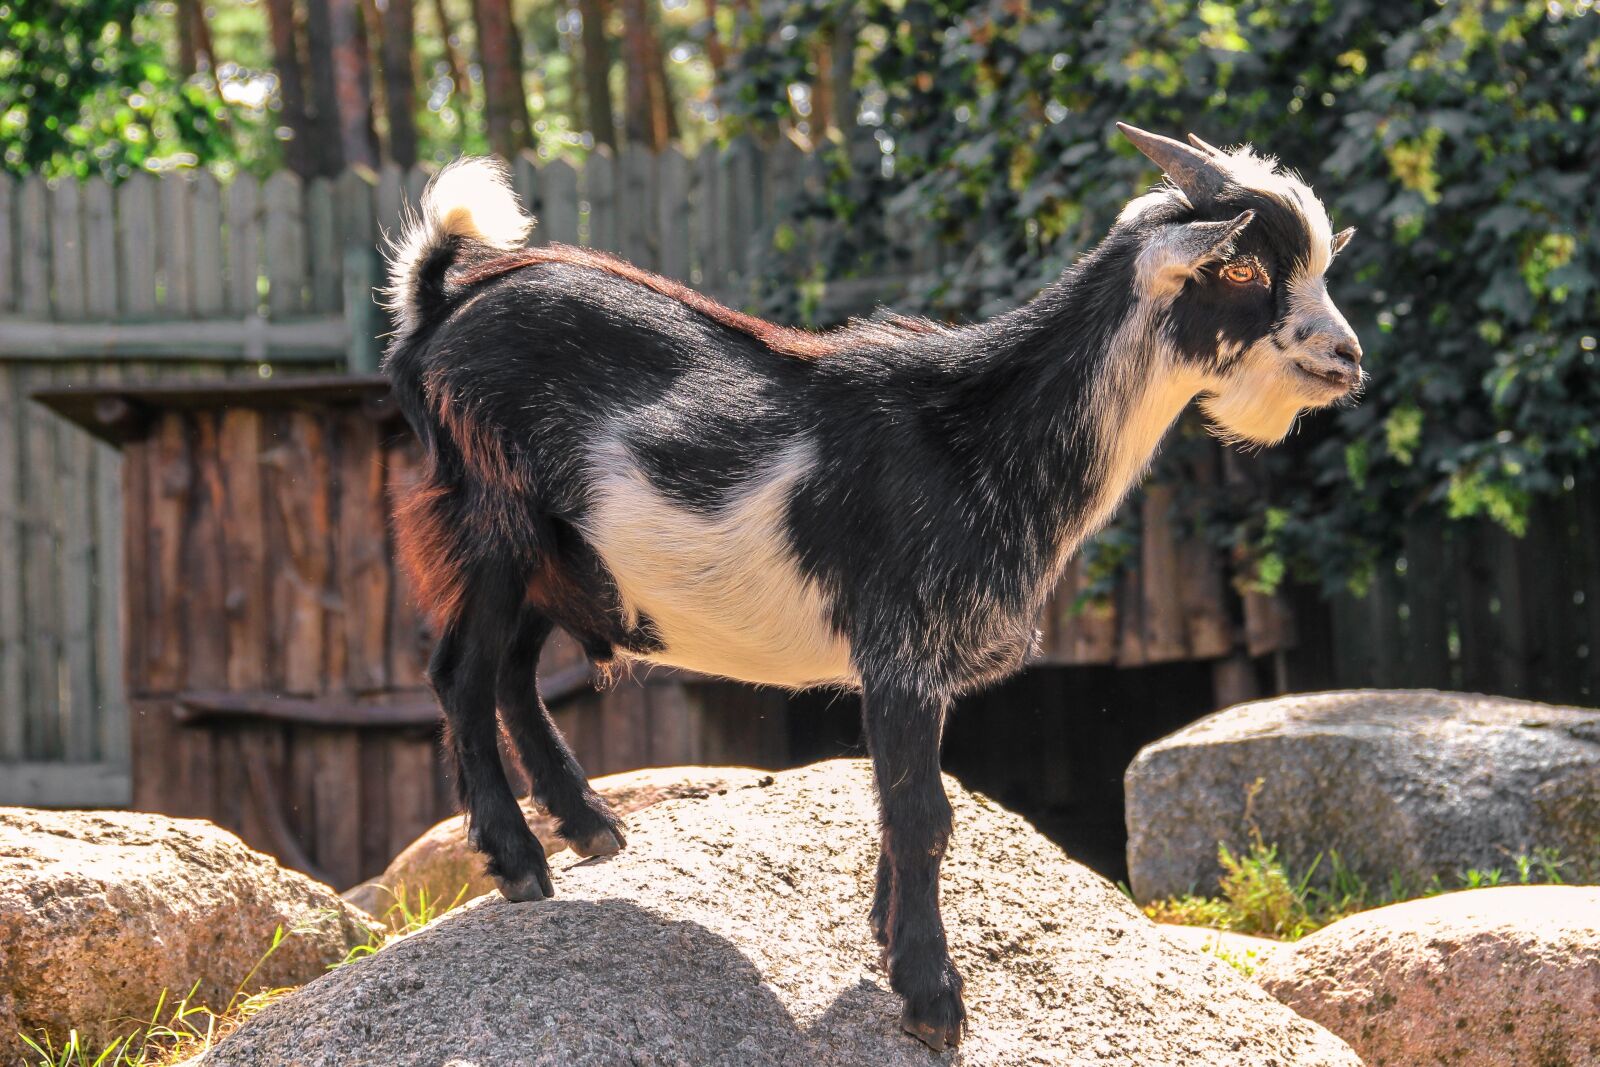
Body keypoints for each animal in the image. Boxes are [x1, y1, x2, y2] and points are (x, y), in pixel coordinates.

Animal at [381, 123, 1362, 1050]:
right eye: (1243, 267)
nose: (1347, 357)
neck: (981, 431)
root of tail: (440, 307)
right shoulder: (902, 649)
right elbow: (923, 812)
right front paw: (932, 998)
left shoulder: (921, 666)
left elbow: (902, 810)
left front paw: (893, 946)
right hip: (491, 521)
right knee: (461, 675)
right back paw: (519, 862)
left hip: (556, 553)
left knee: (511, 673)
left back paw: (589, 827)